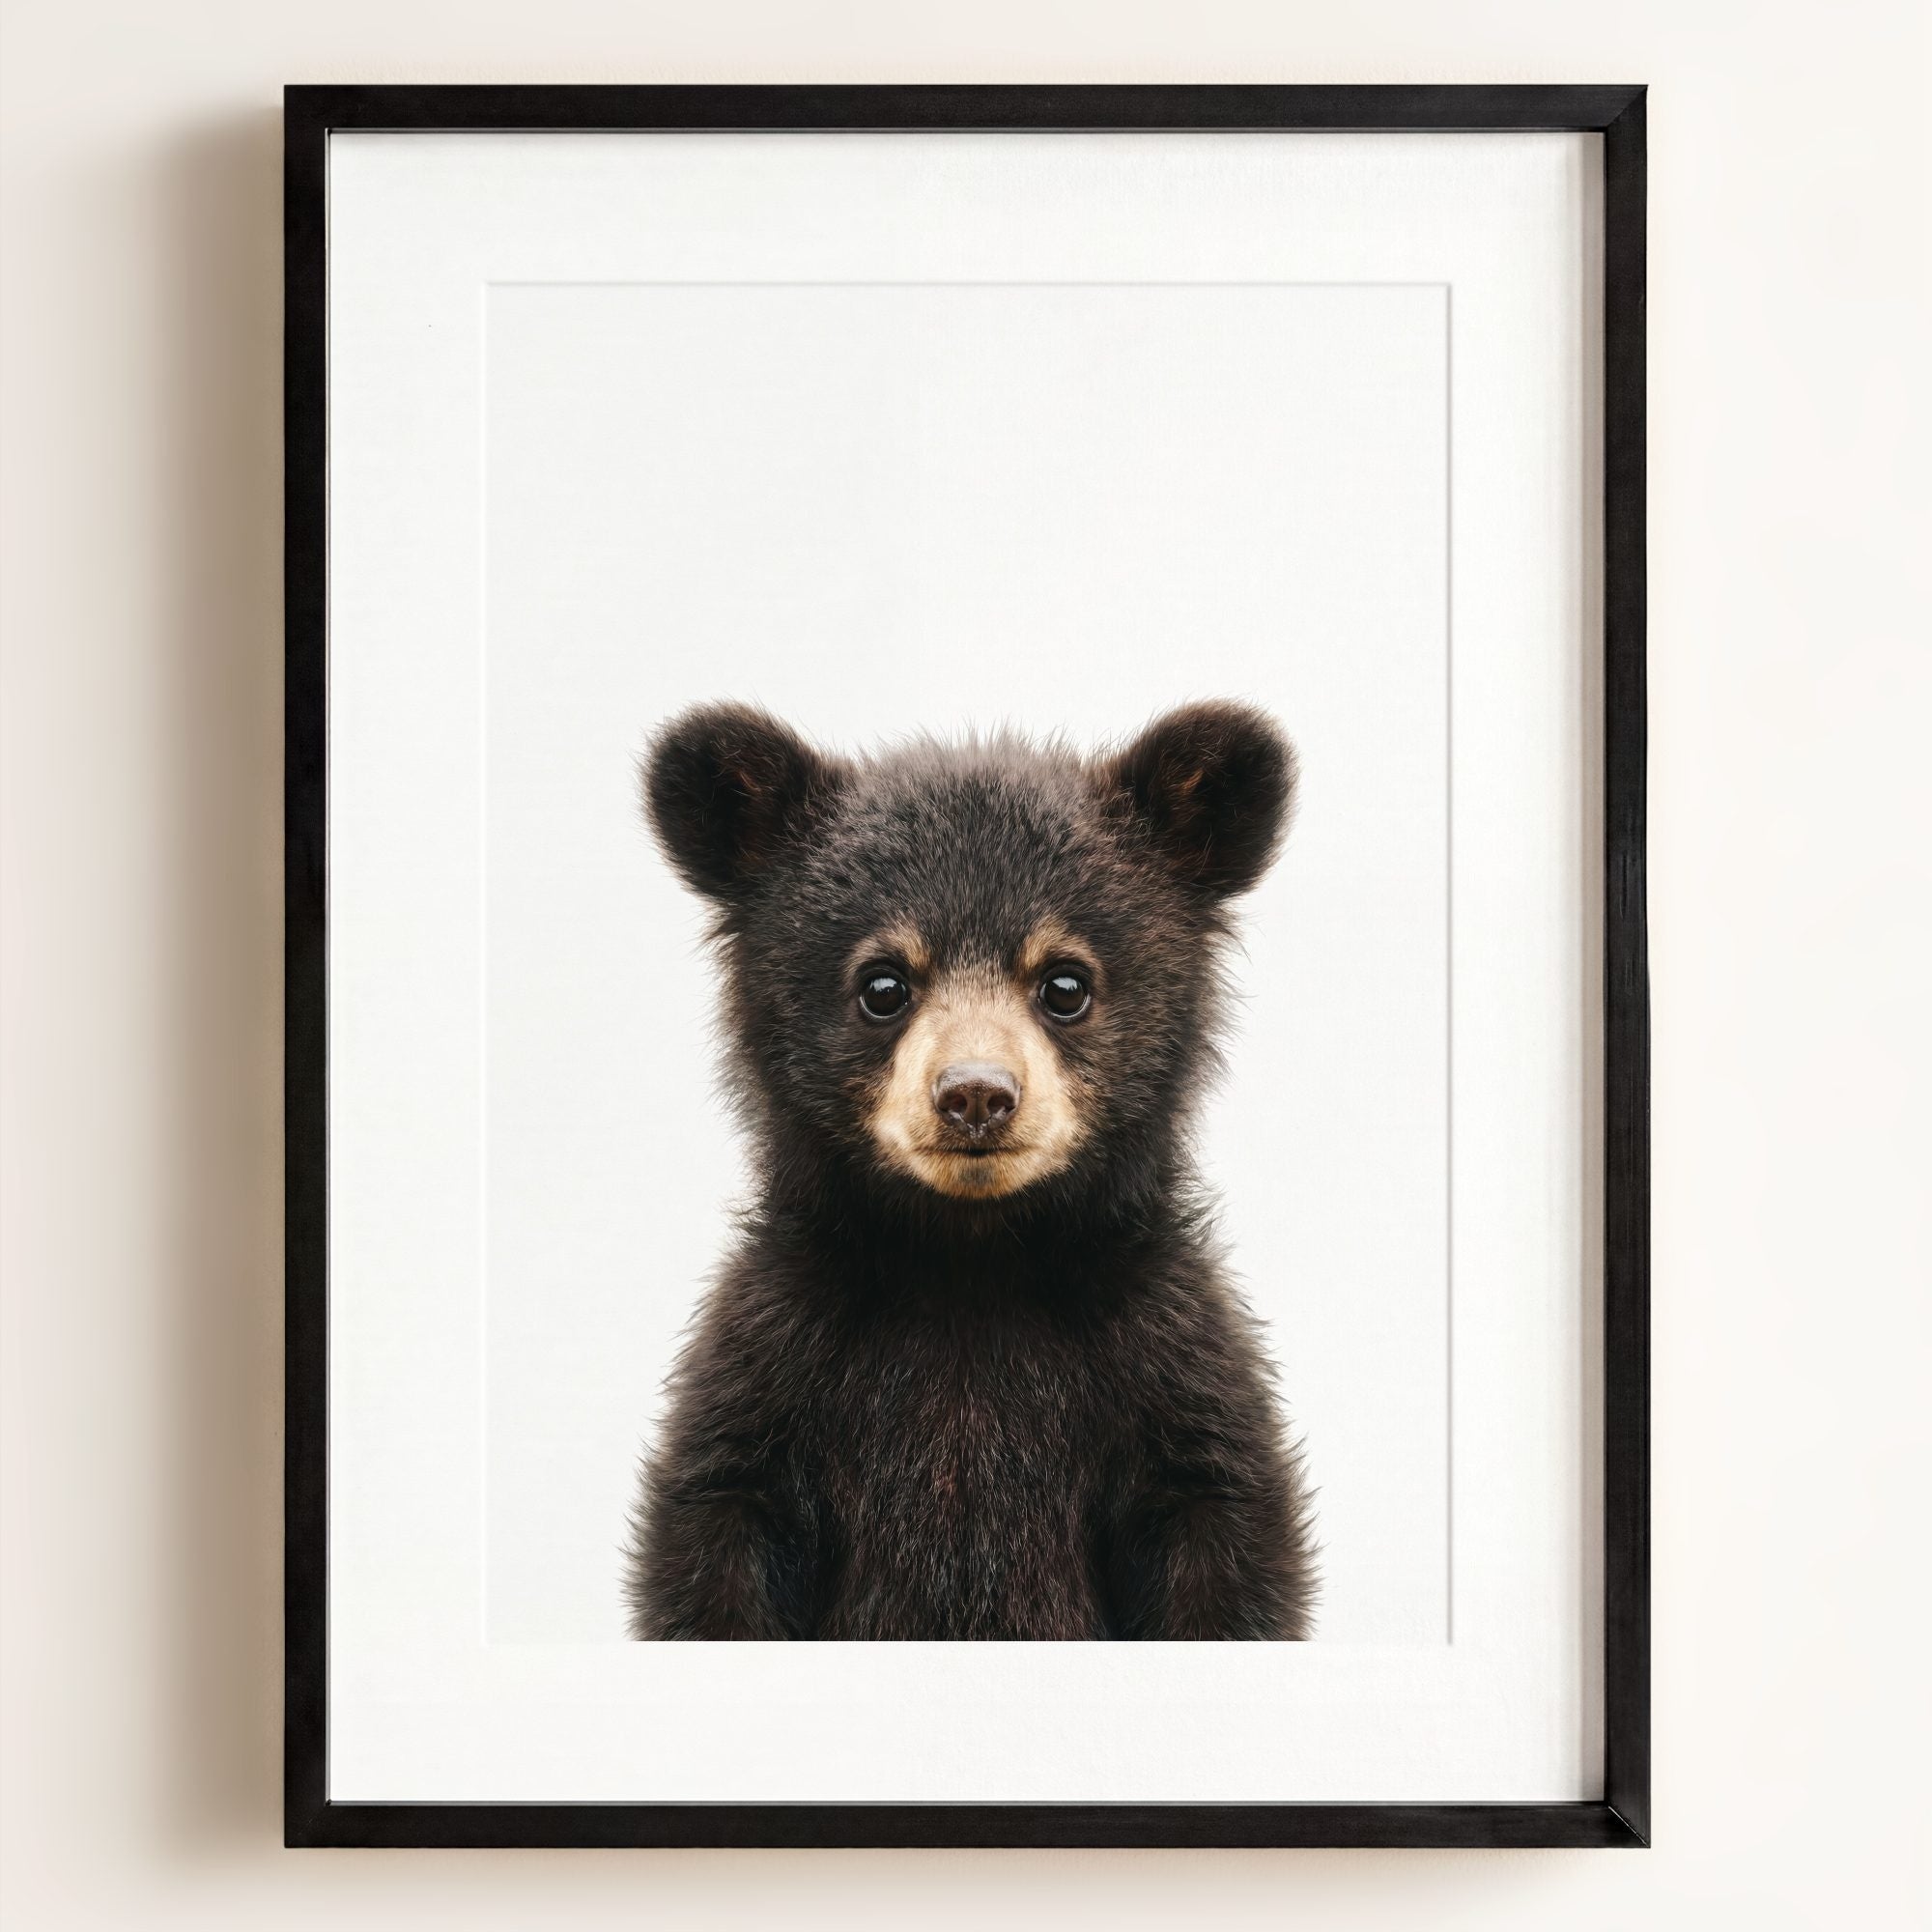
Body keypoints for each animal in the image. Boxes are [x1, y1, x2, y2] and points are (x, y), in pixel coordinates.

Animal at [624, 700, 1316, 1640]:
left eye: (1065, 983)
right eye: (883, 984)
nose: (977, 1095)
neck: (970, 1262)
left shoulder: (1169, 1368)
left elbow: (1222, 1538)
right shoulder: (771, 1368)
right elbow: (716, 1538)